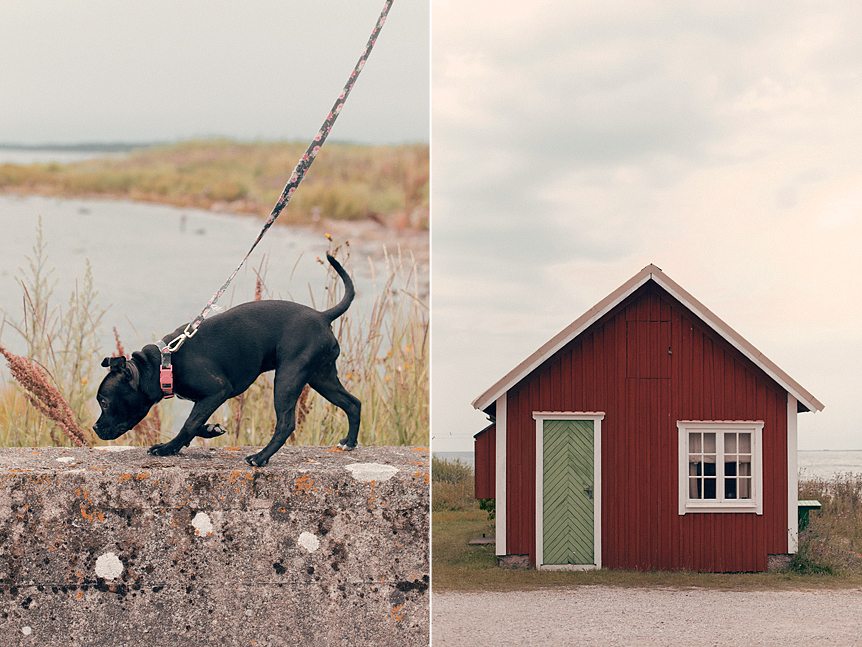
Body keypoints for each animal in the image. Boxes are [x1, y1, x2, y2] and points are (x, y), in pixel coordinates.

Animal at [93, 253, 362, 466]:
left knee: (286, 423)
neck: (163, 364)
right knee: (353, 403)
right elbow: (196, 421)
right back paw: (349, 442)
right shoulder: (206, 399)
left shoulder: (217, 390)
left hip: (288, 378)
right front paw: (210, 430)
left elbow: (189, 423)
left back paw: (260, 458)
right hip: (322, 377)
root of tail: (323, 316)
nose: (95, 427)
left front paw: (168, 448)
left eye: (104, 402)